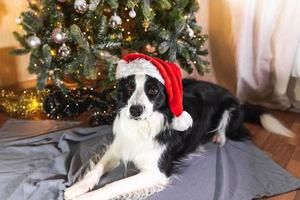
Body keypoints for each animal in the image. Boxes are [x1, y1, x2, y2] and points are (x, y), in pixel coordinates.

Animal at [63, 54, 292, 200]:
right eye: (129, 87)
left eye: (153, 90)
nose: (135, 110)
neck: (144, 126)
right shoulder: (120, 145)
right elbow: (97, 168)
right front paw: (78, 188)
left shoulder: (156, 172)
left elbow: (115, 184)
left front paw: (87, 197)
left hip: (230, 108)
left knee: (226, 128)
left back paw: (218, 137)